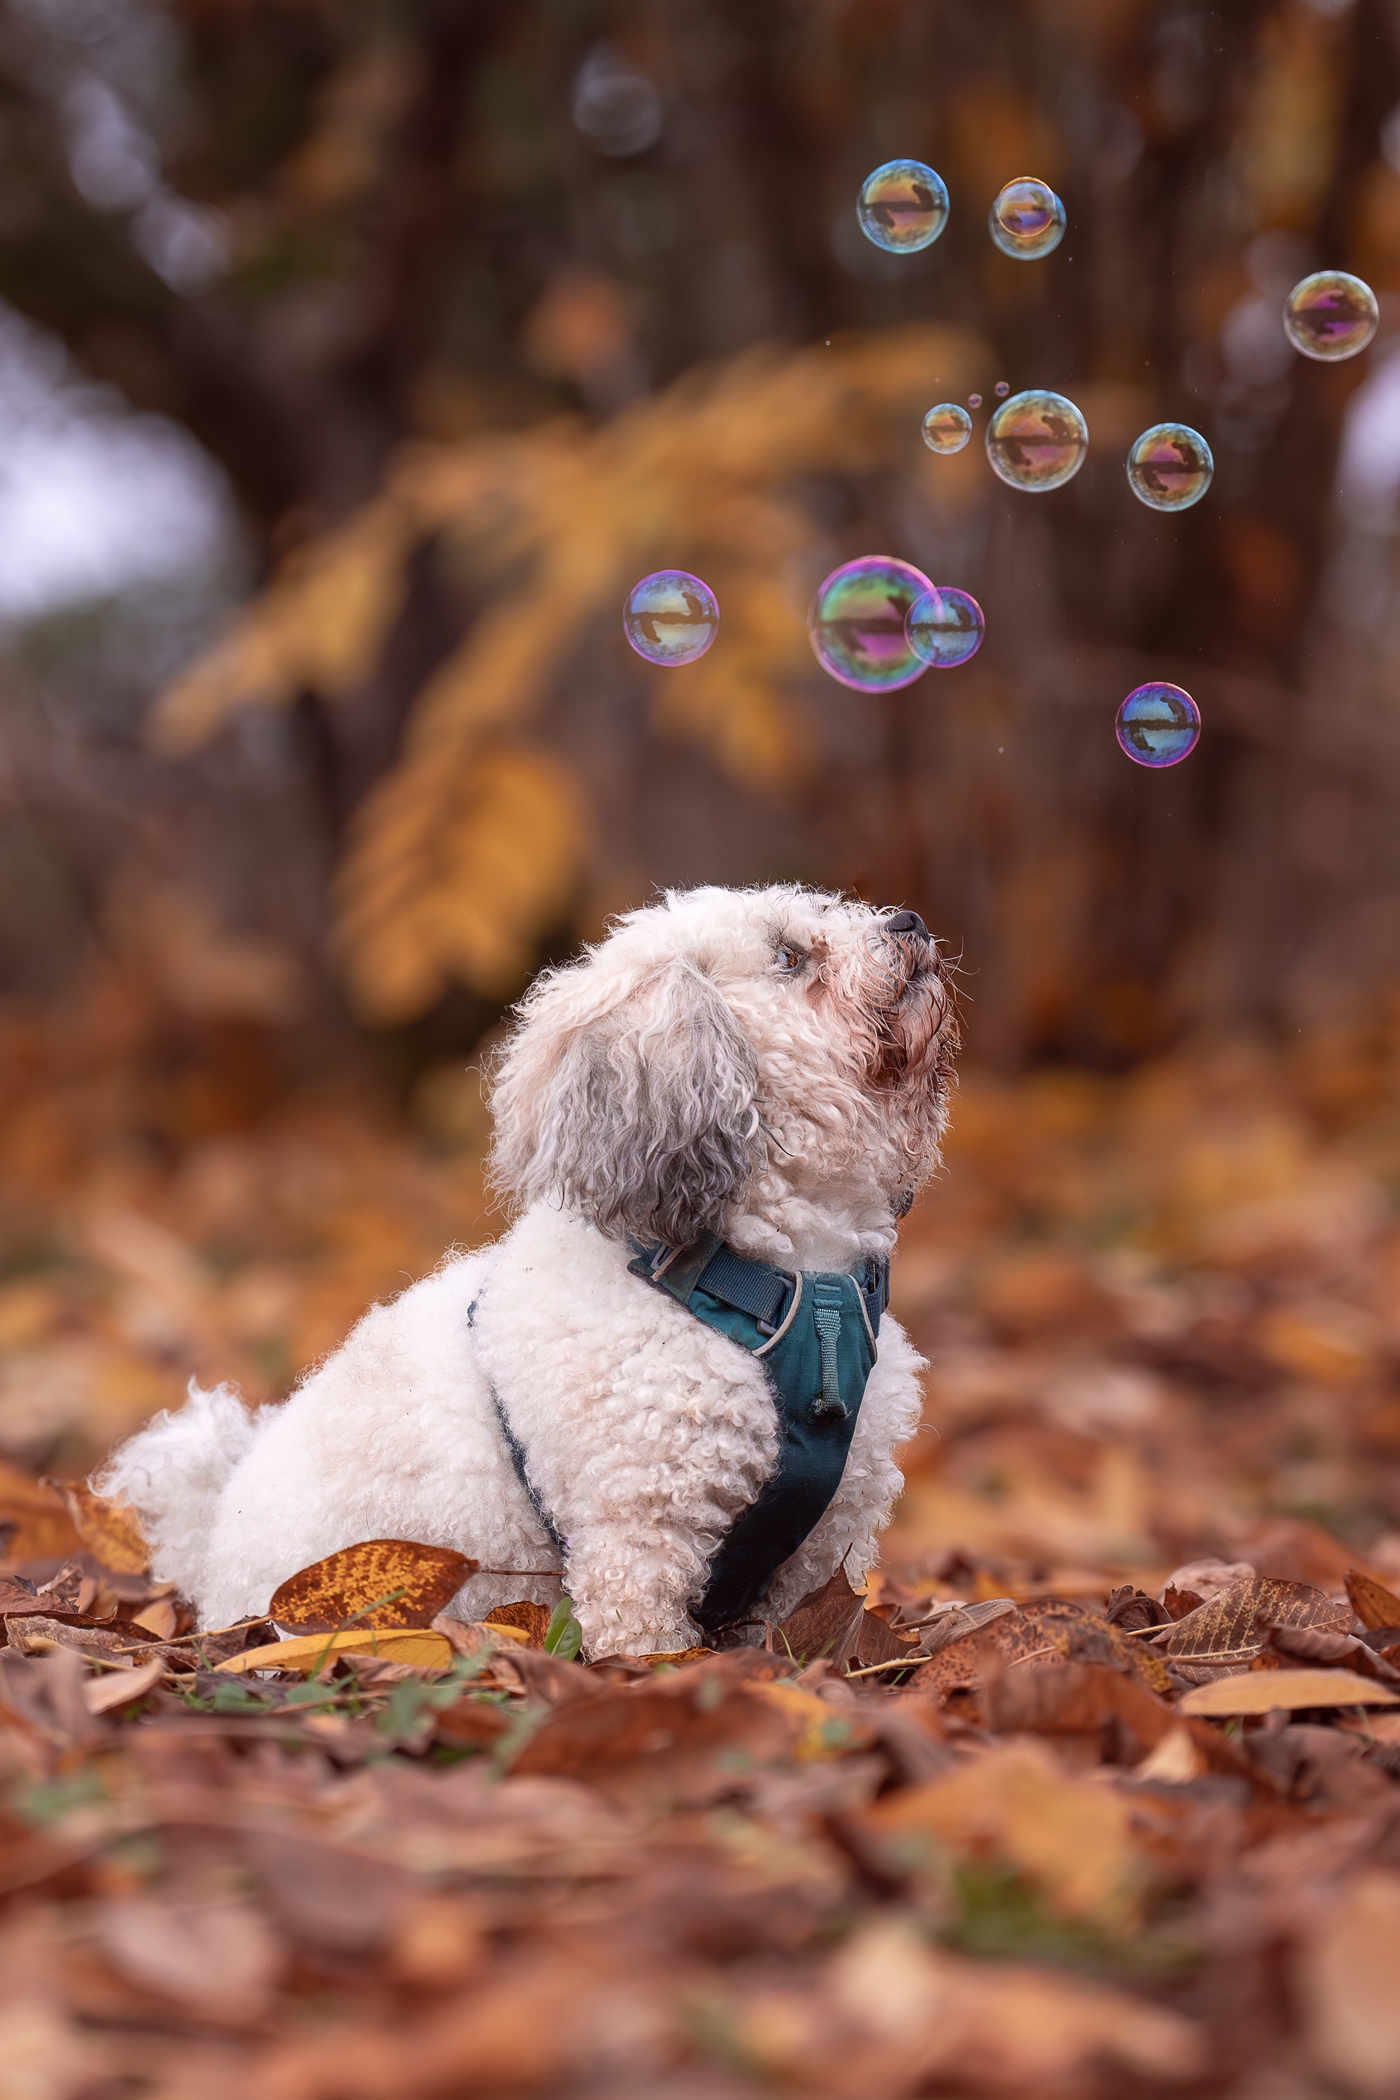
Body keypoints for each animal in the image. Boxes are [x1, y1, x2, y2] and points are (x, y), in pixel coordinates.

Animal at [103, 886, 957, 1654]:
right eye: (789, 956)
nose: (910, 920)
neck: (785, 1286)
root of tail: (210, 1550)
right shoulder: (637, 1537)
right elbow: (647, 1646)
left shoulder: (830, 1542)